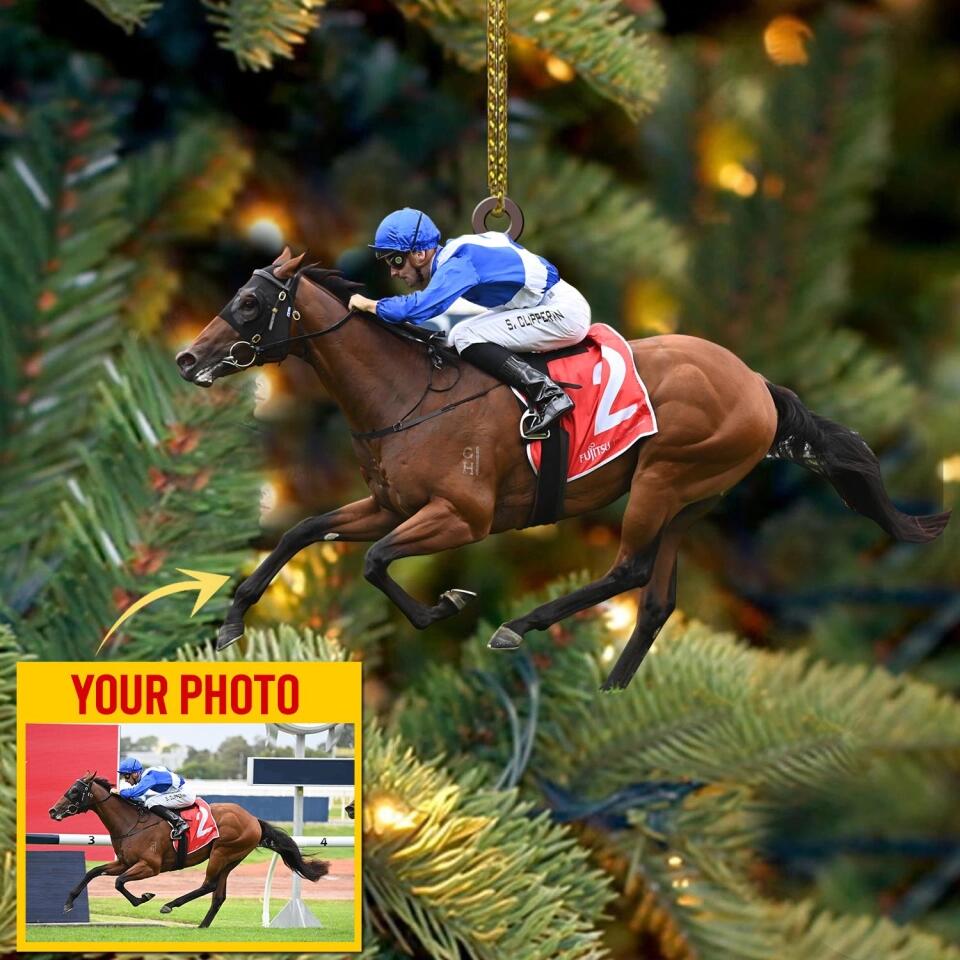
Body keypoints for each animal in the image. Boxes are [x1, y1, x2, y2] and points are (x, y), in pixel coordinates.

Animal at [48, 771, 329, 927]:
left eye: (75, 791)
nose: (53, 811)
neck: (131, 822)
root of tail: (252, 819)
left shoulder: (150, 866)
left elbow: (118, 883)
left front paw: (143, 898)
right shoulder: (124, 862)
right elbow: (93, 872)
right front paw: (68, 902)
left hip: (222, 853)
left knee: (208, 886)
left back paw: (170, 904)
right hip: (230, 859)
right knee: (218, 895)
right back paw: (202, 926)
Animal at [175, 248, 949, 689]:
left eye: (249, 302)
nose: (187, 358)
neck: (407, 392)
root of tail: (758, 383)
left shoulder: (461, 517)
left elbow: (374, 563)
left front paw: (445, 606)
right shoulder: (389, 505)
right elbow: (302, 531)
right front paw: (232, 620)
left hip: (664, 477)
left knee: (629, 571)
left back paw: (524, 625)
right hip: (690, 495)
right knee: (659, 597)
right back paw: (615, 688)